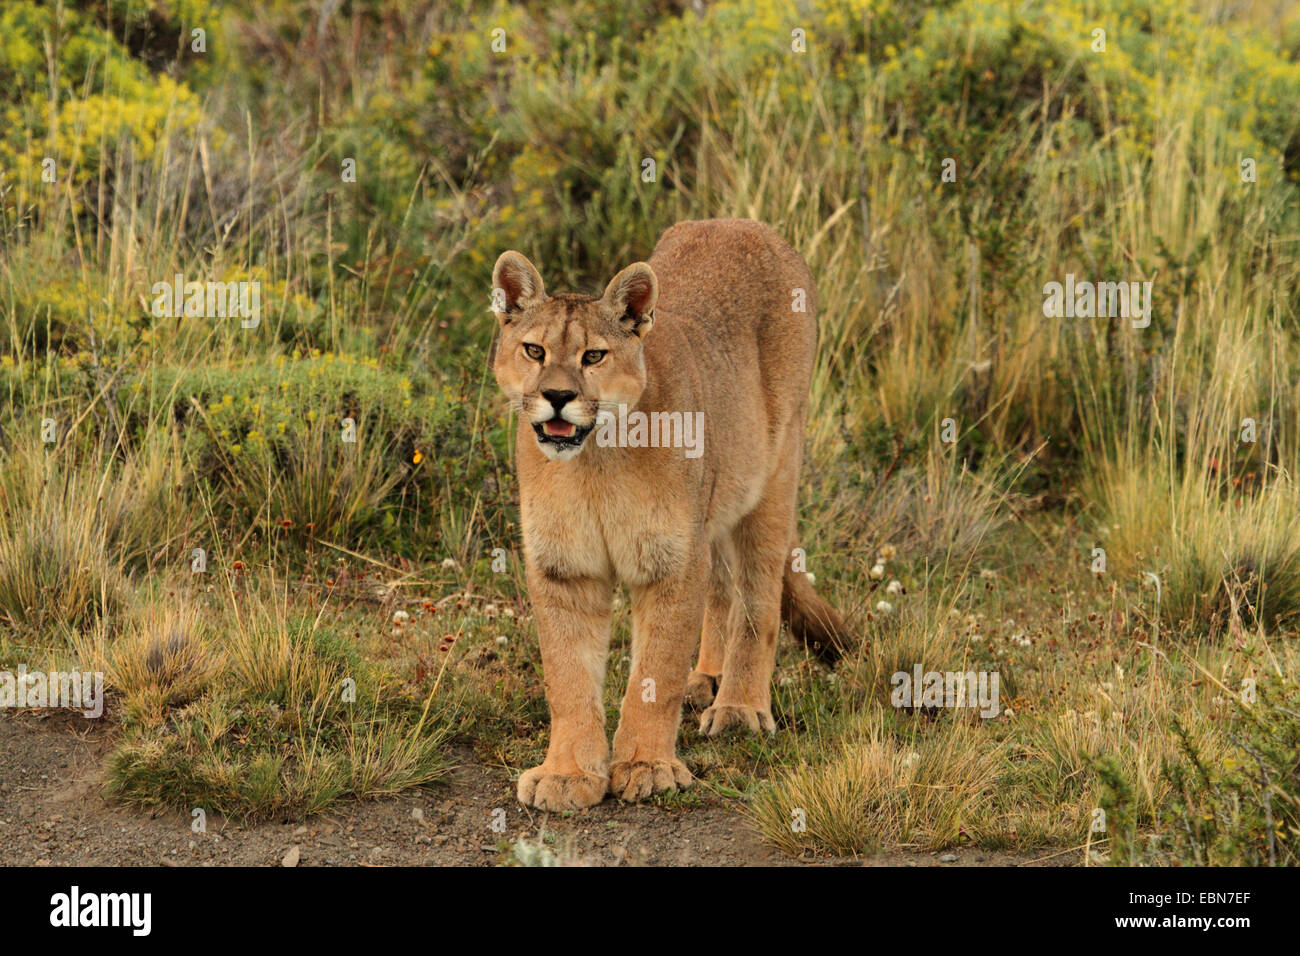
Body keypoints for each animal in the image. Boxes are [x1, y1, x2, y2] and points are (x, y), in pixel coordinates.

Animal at [491, 218, 850, 811]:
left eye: (594, 356)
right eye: (534, 350)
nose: (558, 395)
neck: (597, 462)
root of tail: (746, 223)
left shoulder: (670, 562)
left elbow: (653, 675)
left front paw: (646, 766)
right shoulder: (565, 567)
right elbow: (567, 678)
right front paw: (568, 774)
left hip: (774, 477)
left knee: (756, 596)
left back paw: (739, 707)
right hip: (714, 506)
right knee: (722, 586)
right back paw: (704, 677)